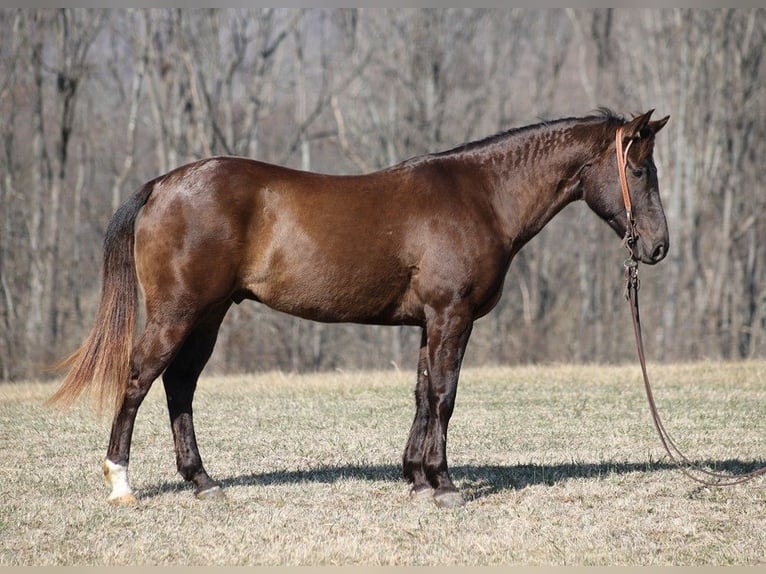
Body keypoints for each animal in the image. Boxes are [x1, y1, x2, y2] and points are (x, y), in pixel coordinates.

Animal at [49, 108, 672, 508]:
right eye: (640, 169)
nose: (658, 246)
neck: (481, 197)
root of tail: (162, 184)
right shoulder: (452, 317)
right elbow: (445, 396)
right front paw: (445, 485)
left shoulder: (429, 322)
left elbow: (422, 393)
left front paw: (417, 478)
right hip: (178, 313)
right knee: (139, 379)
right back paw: (121, 483)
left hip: (208, 315)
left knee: (179, 386)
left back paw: (202, 481)